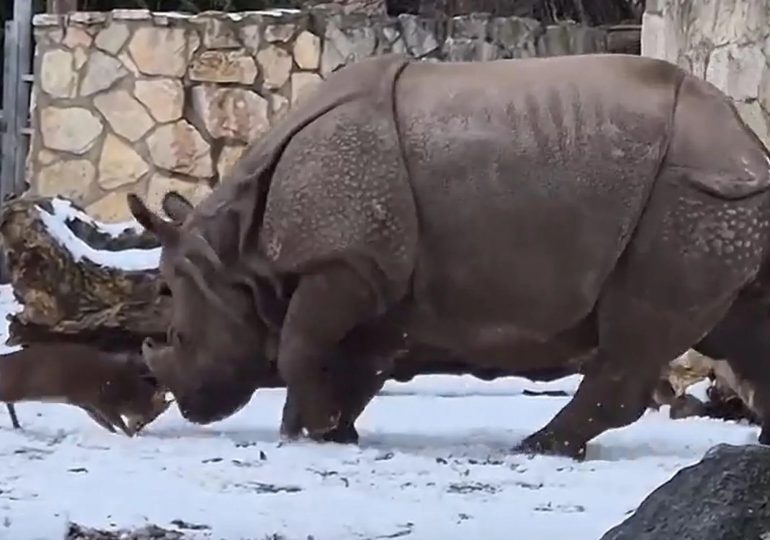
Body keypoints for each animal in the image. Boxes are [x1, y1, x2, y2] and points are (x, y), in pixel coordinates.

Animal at [0, 342, 173, 436]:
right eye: (151, 415)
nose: (139, 429)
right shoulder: (100, 400)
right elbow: (117, 423)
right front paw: (129, 435)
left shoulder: (86, 403)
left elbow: (105, 423)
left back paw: (17, 425)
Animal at [128, 52, 770, 460]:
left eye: (177, 329)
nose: (188, 405)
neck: (236, 252)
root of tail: (746, 143)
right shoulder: (381, 280)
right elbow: (355, 363)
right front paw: (326, 434)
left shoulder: (344, 263)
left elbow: (298, 346)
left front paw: (309, 431)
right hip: (720, 203)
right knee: (741, 327)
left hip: (690, 195)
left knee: (638, 332)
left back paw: (536, 449)